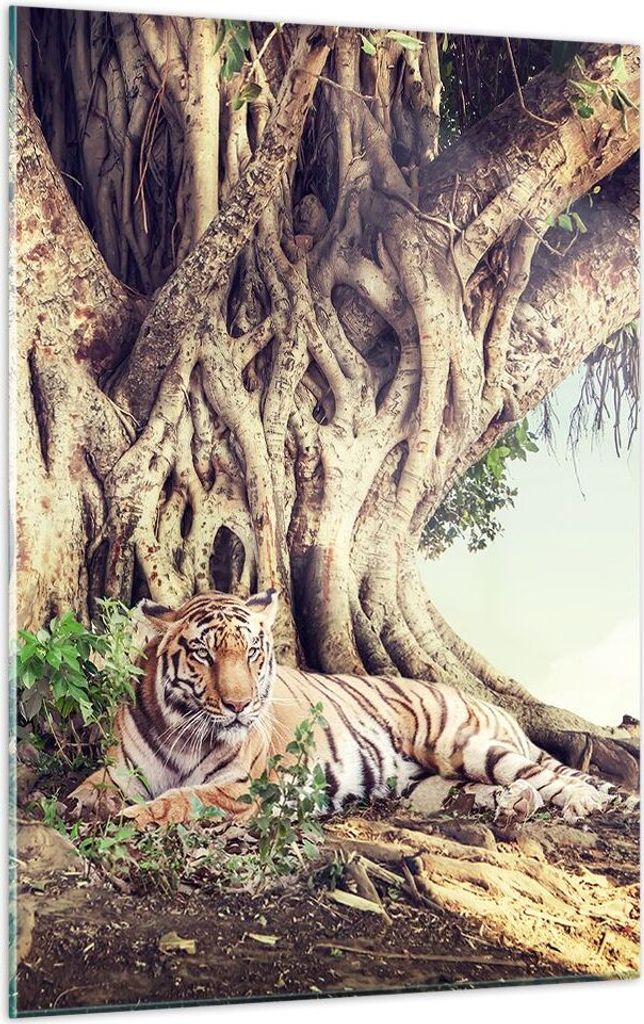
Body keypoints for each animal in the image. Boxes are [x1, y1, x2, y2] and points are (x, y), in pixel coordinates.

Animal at [68, 588, 623, 829]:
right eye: (203, 653)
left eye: (251, 652)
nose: (239, 705)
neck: (182, 731)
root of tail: (491, 701)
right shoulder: (119, 771)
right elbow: (87, 791)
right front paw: (78, 808)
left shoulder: (242, 786)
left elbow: (181, 800)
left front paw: (131, 817)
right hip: (435, 782)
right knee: (504, 788)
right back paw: (513, 806)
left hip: (464, 744)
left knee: (547, 775)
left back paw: (581, 803)